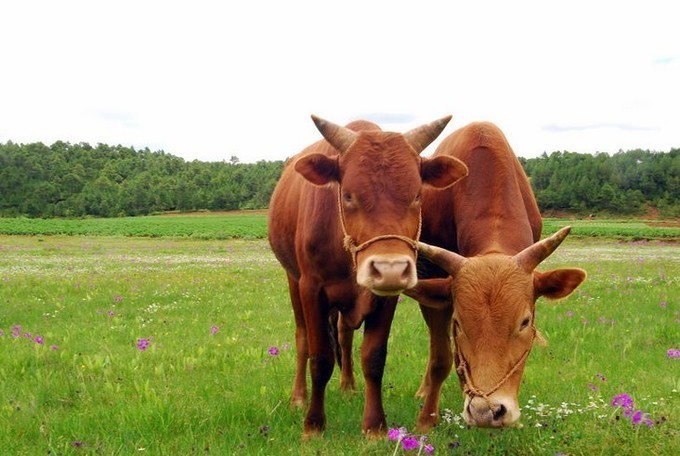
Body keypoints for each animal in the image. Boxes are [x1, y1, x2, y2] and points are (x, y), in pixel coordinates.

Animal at [268, 116, 470, 436]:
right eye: (348, 195)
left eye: (417, 195)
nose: (390, 269)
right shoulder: (312, 289)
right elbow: (319, 357)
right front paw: (313, 424)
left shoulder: (385, 297)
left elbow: (373, 357)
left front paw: (374, 426)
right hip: (293, 280)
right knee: (302, 338)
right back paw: (298, 397)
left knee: (344, 335)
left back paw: (348, 386)